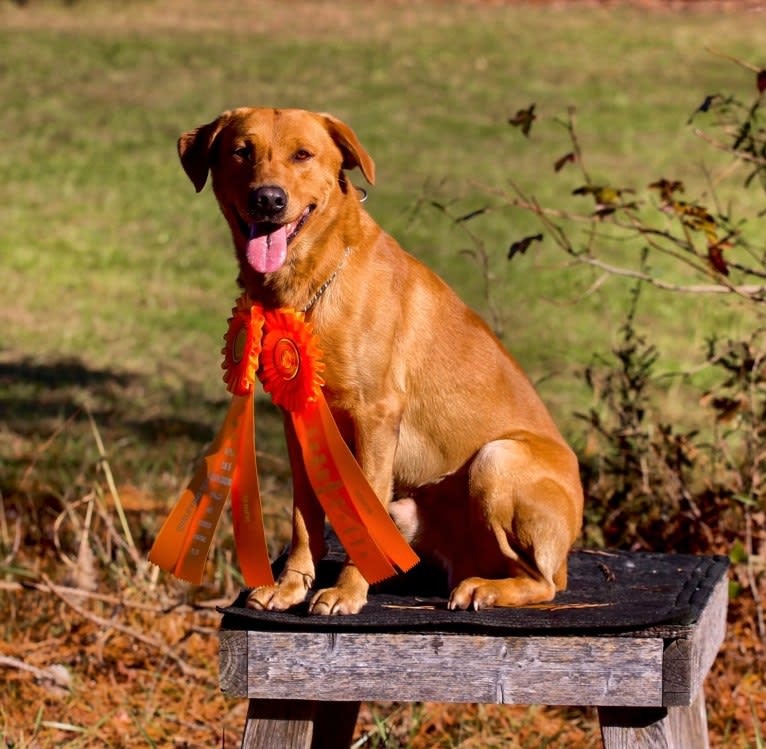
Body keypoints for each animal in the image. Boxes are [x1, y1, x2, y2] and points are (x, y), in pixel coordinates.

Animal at [180, 106, 584, 612]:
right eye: (241, 151)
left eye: (302, 155)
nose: (268, 200)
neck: (311, 287)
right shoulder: (301, 422)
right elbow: (304, 517)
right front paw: (292, 585)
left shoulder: (376, 416)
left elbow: (363, 509)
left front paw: (347, 591)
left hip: (498, 458)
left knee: (541, 580)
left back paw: (485, 588)